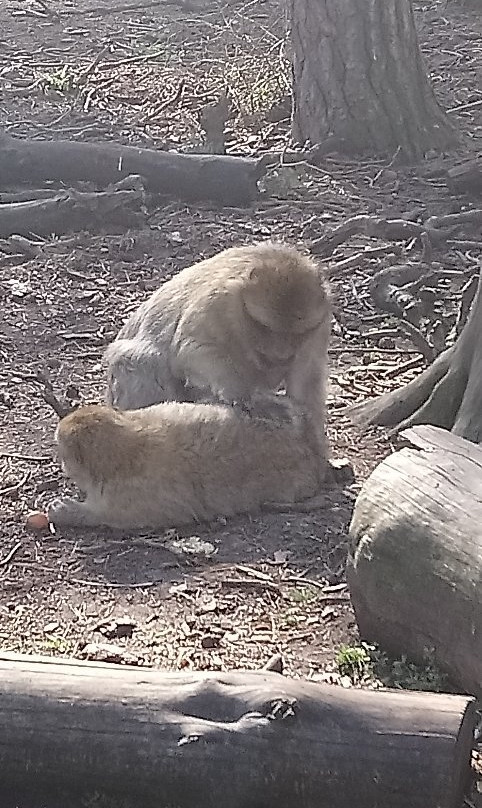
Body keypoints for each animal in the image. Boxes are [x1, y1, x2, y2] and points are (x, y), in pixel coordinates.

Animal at [46, 396, 324, 532]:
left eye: (64, 454)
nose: (63, 465)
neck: (126, 447)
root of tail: (312, 450)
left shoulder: (129, 499)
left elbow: (105, 516)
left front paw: (69, 512)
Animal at [104, 240, 332, 480]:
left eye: (297, 334)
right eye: (265, 327)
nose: (280, 354)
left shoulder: (319, 325)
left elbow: (306, 377)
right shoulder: (218, 301)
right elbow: (191, 351)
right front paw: (241, 394)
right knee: (139, 360)